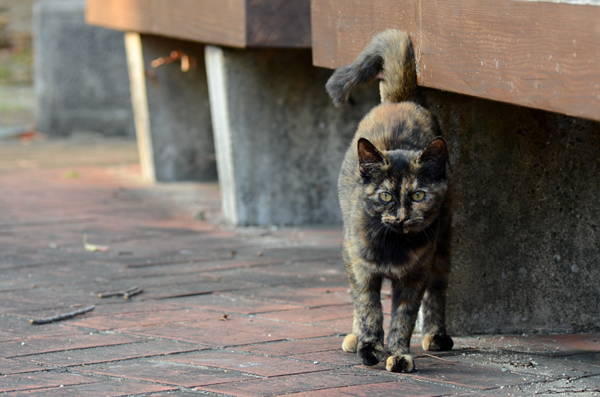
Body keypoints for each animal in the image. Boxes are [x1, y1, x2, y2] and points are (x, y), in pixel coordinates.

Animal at [326, 30, 452, 372]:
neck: (394, 245)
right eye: (385, 196)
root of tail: (400, 100)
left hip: (442, 246)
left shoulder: (414, 276)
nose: (402, 216)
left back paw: (436, 335)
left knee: (438, 289)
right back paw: (354, 337)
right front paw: (370, 347)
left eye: (418, 195)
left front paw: (398, 354)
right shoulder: (361, 268)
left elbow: (403, 319)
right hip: (349, 253)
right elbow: (368, 309)